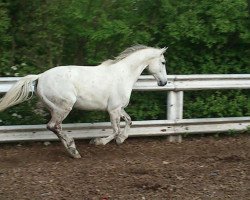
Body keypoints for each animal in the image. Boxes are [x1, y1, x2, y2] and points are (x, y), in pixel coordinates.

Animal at [0, 45, 168, 158]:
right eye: (163, 62)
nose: (164, 82)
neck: (123, 74)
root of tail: (40, 76)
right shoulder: (113, 109)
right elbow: (115, 130)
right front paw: (98, 142)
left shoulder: (119, 108)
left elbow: (129, 121)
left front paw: (121, 140)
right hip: (64, 107)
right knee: (53, 126)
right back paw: (73, 149)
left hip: (55, 109)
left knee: (55, 127)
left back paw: (72, 150)